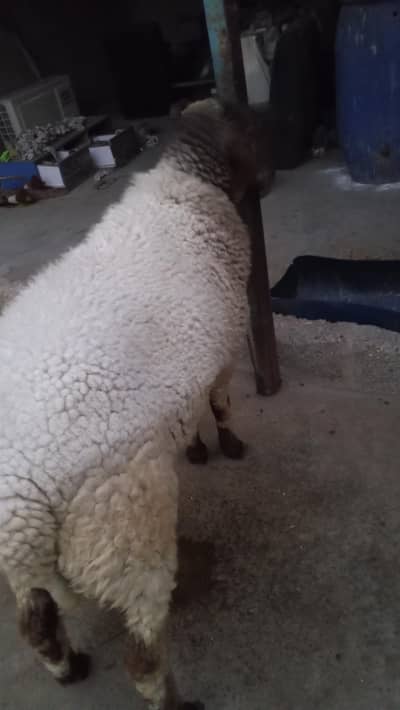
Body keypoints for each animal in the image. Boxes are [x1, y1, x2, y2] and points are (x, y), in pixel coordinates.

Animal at [0, 98, 257, 710]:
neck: (186, 181)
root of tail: (19, 503)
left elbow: (195, 409)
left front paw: (196, 449)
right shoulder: (224, 350)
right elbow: (219, 403)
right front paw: (228, 445)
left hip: (31, 562)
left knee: (35, 621)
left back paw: (68, 669)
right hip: (122, 534)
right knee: (141, 653)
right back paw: (173, 701)